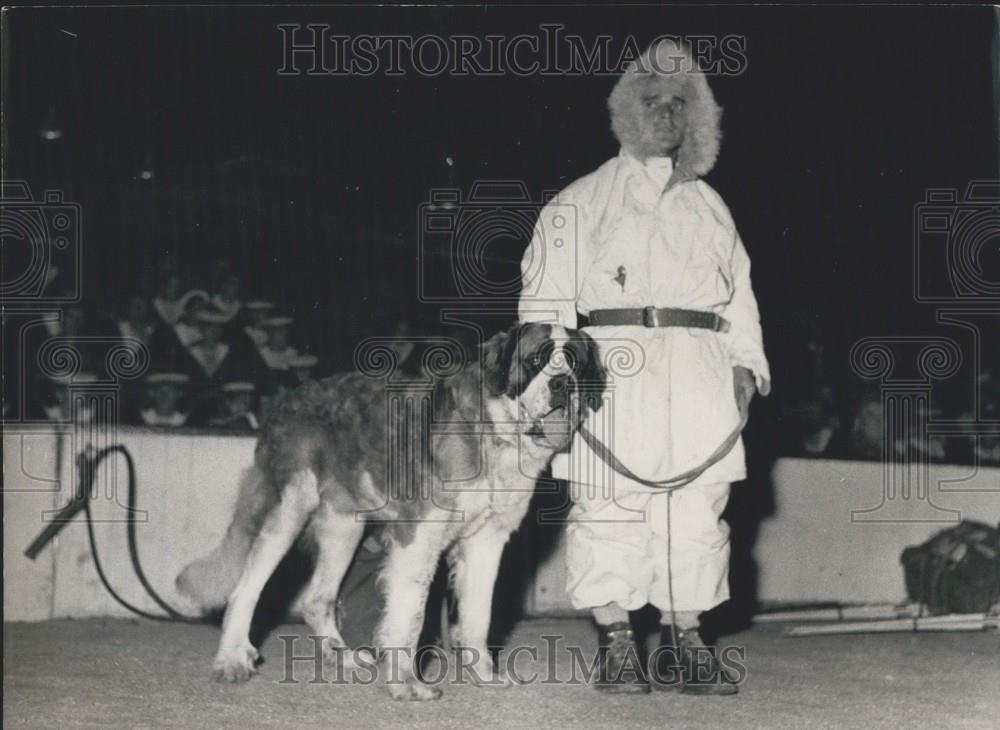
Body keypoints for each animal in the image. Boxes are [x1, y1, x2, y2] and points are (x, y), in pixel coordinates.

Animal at [176, 322, 604, 696]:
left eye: (576, 364)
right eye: (536, 360)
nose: (562, 383)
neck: (493, 431)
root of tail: (289, 399)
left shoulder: (487, 542)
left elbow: (479, 616)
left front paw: (484, 674)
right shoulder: (418, 537)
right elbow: (408, 616)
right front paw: (407, 685)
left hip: (344, 527)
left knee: (317, 599)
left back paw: (344, 659)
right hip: (289, 507)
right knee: (246, 589)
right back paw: (232, 659)